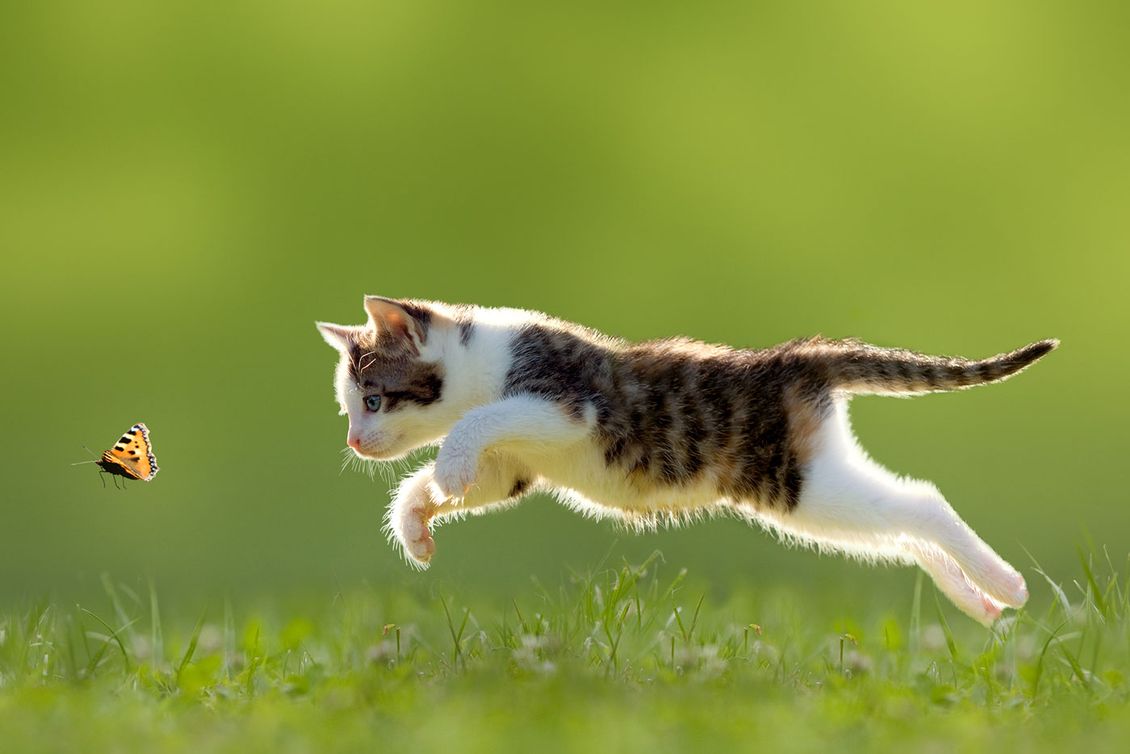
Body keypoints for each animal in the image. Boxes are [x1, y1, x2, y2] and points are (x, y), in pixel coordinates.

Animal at [314, 293, 1053, 624]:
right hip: (817, 490)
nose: (353, 441)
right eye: (349, 408)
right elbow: (472, 476)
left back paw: (1007, 585)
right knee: (900, 529)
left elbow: (476, 422)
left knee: (921, 503)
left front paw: (446, 468)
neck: (482, 359)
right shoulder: (516, 466)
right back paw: (979, 602)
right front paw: (417, 523)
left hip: (801, 484)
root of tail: (792, 359)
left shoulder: (564, 405)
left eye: (374, 400)